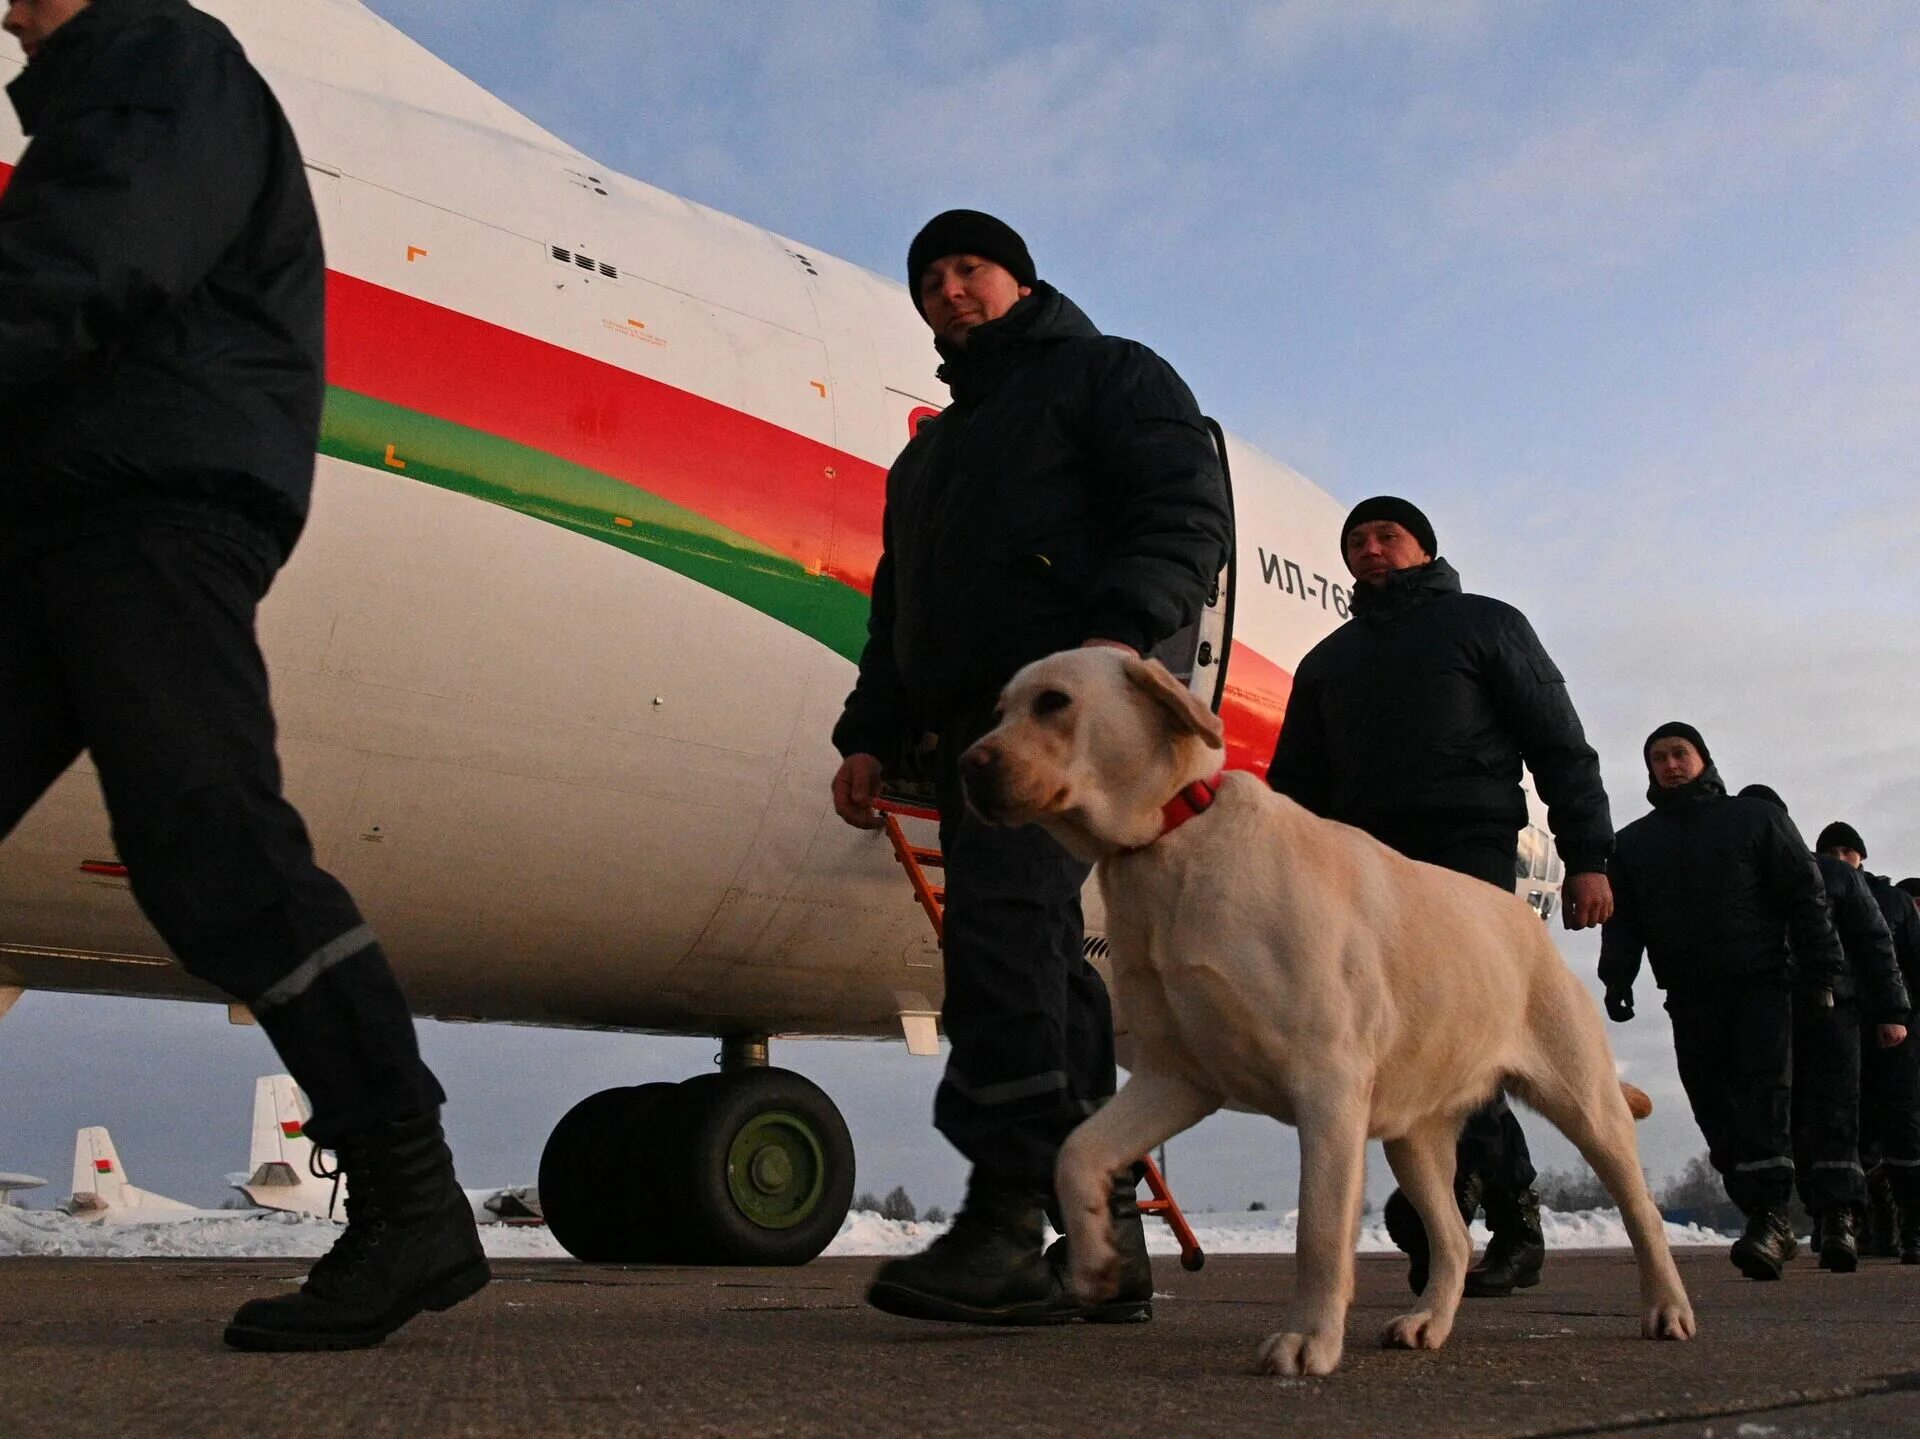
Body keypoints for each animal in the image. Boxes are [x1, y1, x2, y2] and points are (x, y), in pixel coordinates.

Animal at [960, 649, 1697, 1367]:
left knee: (1642, 1214)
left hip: (1587, 1103)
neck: (1170, 841)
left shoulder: (1328, 1085)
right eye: (997, 710)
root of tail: (1530, 924)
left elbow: (1318, 1228)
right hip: (1412, 1133)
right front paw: (1095, 1263)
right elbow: (1077, 1152)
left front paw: (1308, 1339)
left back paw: (1667, 1309)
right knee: (1454, 1239)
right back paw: (1427, 1322)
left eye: (1054, 701)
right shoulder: (1179, 1077)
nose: (965, 766)